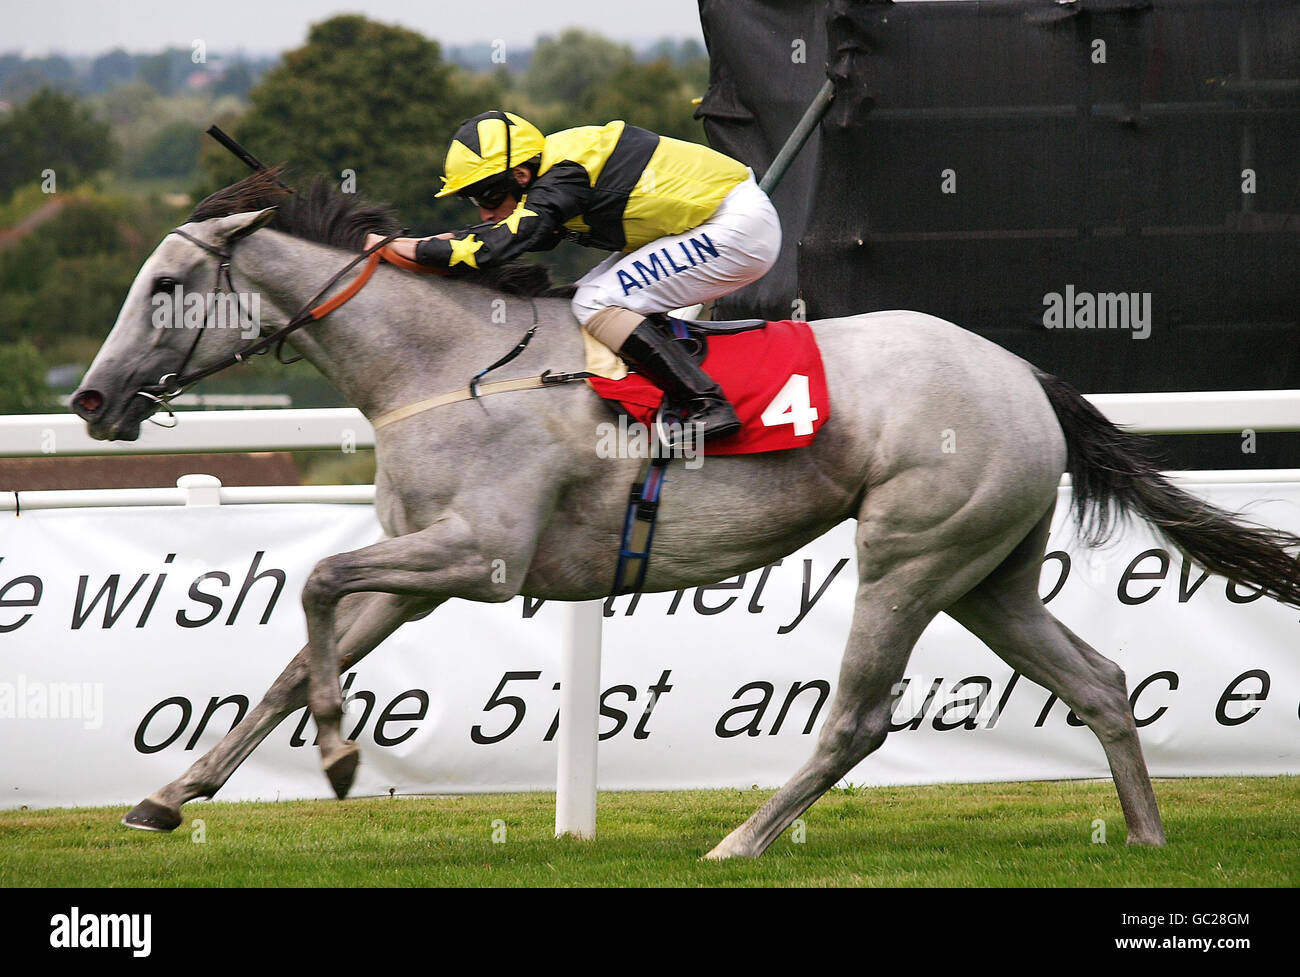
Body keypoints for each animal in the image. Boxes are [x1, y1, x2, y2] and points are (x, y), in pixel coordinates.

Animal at [71, 174, 1300, 852]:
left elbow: (318, 581)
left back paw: (739, 840)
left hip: (910, 554)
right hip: (987, 571)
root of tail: (1024, 374)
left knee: (858, 717)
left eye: (166, 290)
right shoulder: (421, 568)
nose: (89, 400)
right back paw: (1143, 836)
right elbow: (295, 652)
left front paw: (334, 754)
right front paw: (168, 797)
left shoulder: (480, 558)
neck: (447, 364)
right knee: (1099, 680)